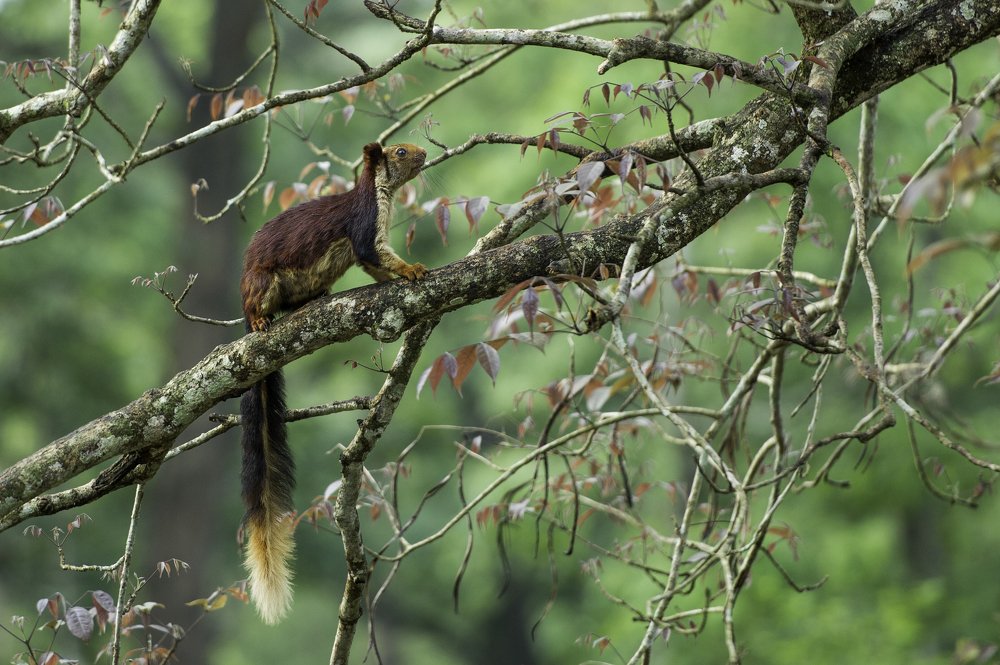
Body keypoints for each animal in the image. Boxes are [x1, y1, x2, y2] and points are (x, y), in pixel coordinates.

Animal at [239, 142, 428, 624]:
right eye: (400, 151)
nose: (423, 154)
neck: (379, 194)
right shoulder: (364, 227)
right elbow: (375, 256)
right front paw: (414, 270)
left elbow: (374, 267)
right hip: (262, 283)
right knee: (257, 308)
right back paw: (262, 319)